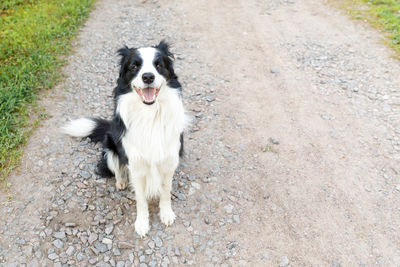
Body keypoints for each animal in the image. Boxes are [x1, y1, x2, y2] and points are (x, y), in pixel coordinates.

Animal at [62, 40, 188, 238]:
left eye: (158, 65)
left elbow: (166, 191)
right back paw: (121, 181)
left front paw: (166, 214)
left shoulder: (169, 160)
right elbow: (141, 199)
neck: (150, 114)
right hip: (110, 148)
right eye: (135, 66)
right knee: (116, 168)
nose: (148, 77)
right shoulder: (135, 164)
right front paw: (142, 223)